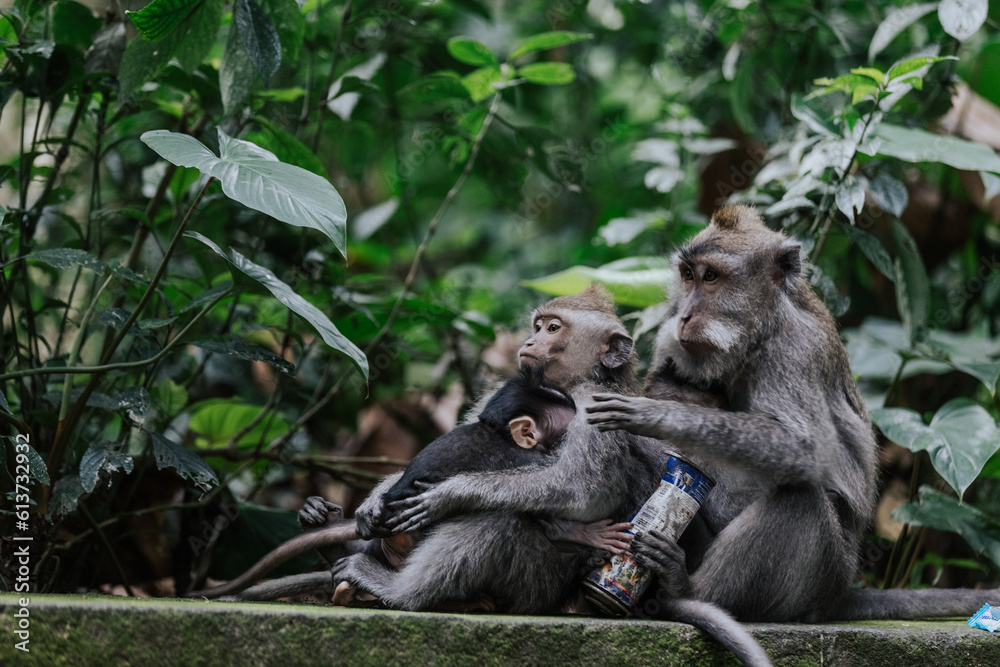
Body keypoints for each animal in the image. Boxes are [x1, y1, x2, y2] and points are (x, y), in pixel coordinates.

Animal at [584, 204, 996, 622]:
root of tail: (839, 595)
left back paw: (689, 589)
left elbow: (805, 450)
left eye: (711, 276)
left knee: (801, 498)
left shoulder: (795, 351)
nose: (682, 315)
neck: (759, 334)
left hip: (817, 582)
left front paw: (654, 415)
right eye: (687, 275)